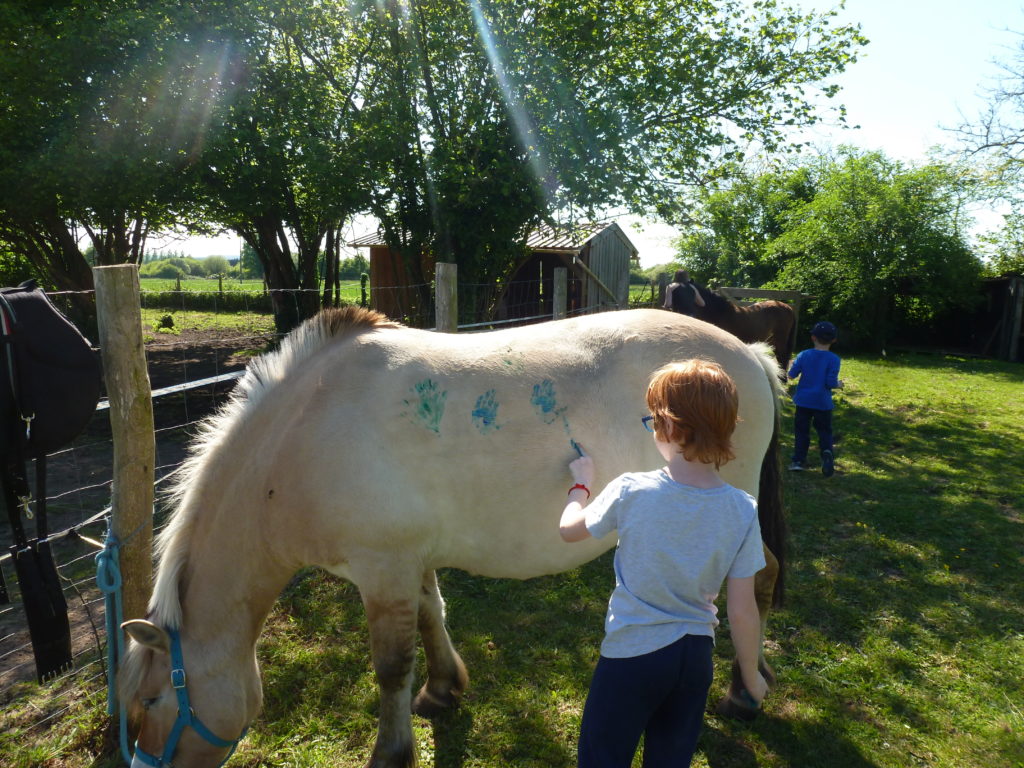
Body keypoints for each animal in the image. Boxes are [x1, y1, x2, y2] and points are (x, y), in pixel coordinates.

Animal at [116, 309, 782, 768]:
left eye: (148, 703)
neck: (301, 445)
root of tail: (747, 352)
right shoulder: (411, 560)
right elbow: (432, 615)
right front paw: (442, 690)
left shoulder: (382, 569)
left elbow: (390, 666)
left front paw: (390, 753)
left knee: (757, 582)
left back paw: (744, 691)